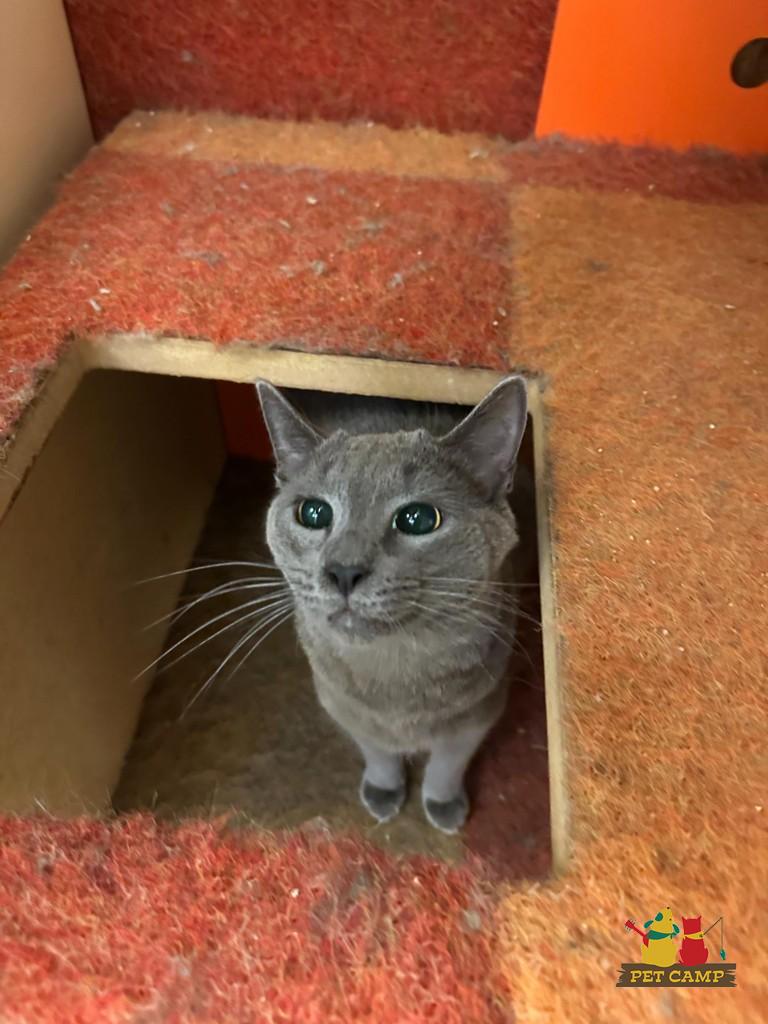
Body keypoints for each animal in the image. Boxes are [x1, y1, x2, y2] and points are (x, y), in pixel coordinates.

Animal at [255, 376, 528, 833]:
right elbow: (377, 752)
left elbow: (448, 763)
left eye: (419, 519)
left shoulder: (481, 710)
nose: (344, 570)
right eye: (312, 512)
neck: (394, 675)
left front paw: (443, 805)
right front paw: (383, 792)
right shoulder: (340, 704)